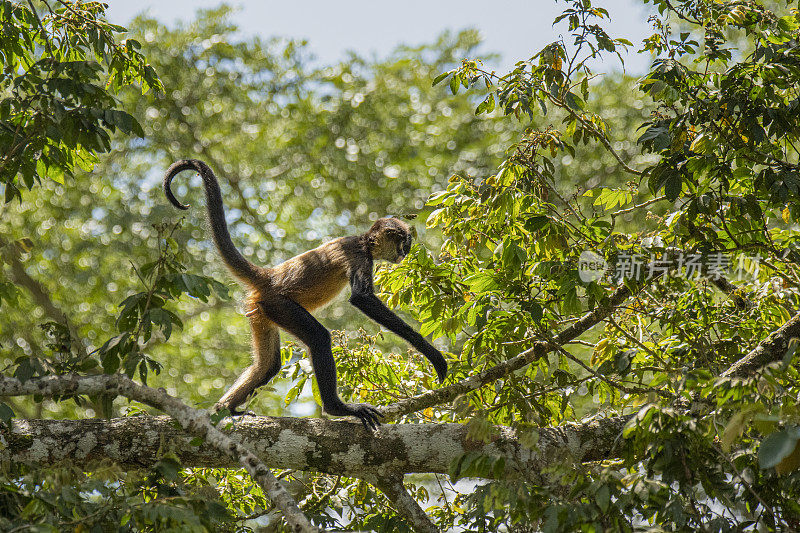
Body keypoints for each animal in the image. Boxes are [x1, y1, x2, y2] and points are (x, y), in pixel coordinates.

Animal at [162, 158, 450, 428]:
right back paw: (337, 408)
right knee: (319, 338)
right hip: (279, 305)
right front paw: (432, 354)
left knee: (269, 365)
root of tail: (270, 276)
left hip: (261, 311)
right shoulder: (359, 255)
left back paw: (225, 409)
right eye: (404, 243)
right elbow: (361, 299)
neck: (362, 241)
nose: (405, 254)